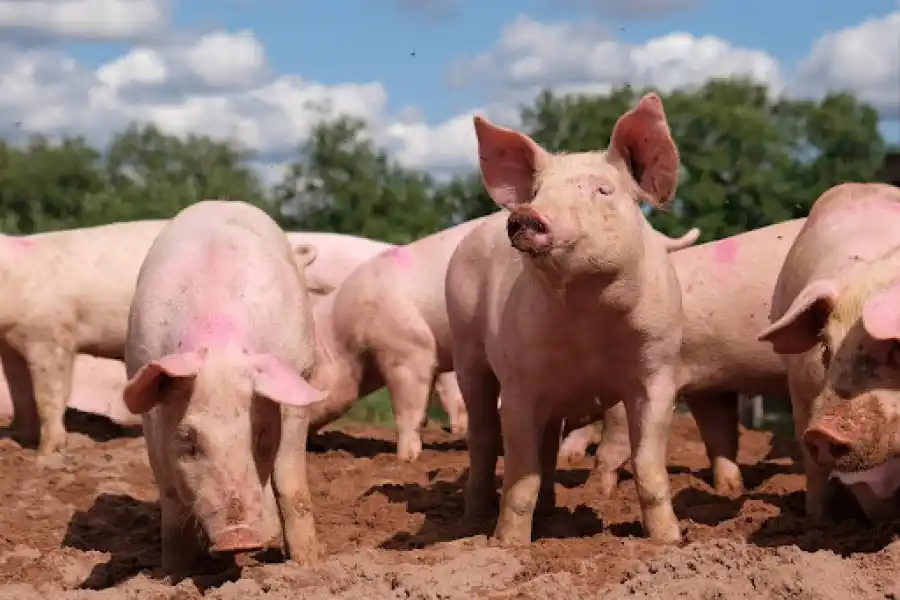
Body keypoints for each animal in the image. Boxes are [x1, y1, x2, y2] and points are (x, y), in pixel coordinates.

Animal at [121, 200, 327, 574]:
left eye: (260, 436)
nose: (238, 536)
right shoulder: (149, 406)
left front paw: (307, 566)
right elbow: (171, 499)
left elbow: (291, 485)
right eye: (187, 439)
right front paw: (172, 575)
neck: (219, 340)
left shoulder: (296, 383)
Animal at [308, 215, 700, 462]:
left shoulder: (409, 349)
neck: (350, 345)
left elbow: (409, 404)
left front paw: (405, 458)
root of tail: (654, 235)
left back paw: (569, 456)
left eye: (307, 373)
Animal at [445, 93, 688, 545]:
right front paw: (508, 546)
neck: (589, 317)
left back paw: (550, 513)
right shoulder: (520, 382)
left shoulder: (659, 372)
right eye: (538, 191)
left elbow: (647, 466)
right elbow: (520, 476)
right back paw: (472, 520)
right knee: (483, 436)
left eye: (602, 189)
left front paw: (669, 541)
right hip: (466, 347)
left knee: (546, 446)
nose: (526, 214)